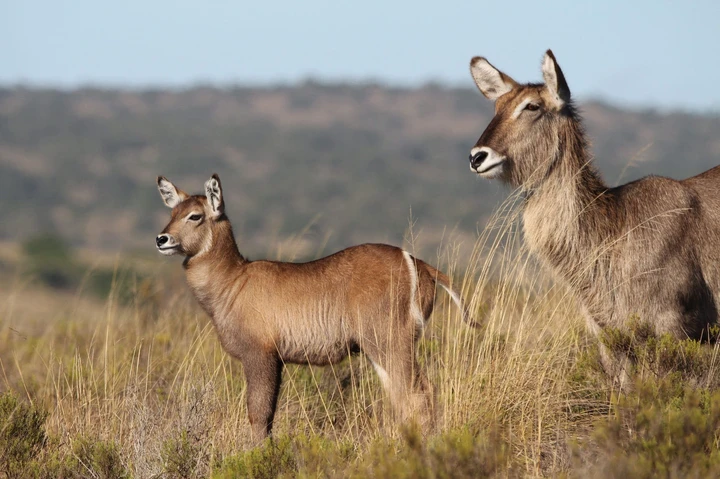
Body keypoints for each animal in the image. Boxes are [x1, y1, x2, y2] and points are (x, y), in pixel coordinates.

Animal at [155, 174, 472, 439]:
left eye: (195, 215)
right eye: (172, 214)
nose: (161, 239)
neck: (233, 279)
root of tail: (420, 264)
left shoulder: (260, 355)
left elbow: (258, 416)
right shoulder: (277, 361)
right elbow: (269, 416)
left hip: (389, 342)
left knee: (419, 393)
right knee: (403, 397)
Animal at [468, 50, 720, 380]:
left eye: (532, 106)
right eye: (498, 106)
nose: (477, 157)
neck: (613, 227)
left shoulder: (672, 328)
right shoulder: (610, 338)